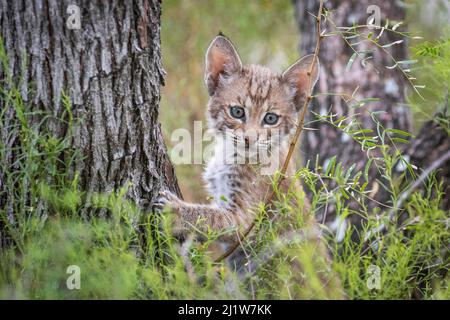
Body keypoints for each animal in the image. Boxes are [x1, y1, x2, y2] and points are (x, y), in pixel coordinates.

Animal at [156, 35, 318, 244]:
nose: (250, 139)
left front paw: (175, 211)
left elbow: (210, 218)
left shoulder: (245, 221)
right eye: (237, 112)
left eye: (270, 119)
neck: (229, 153)